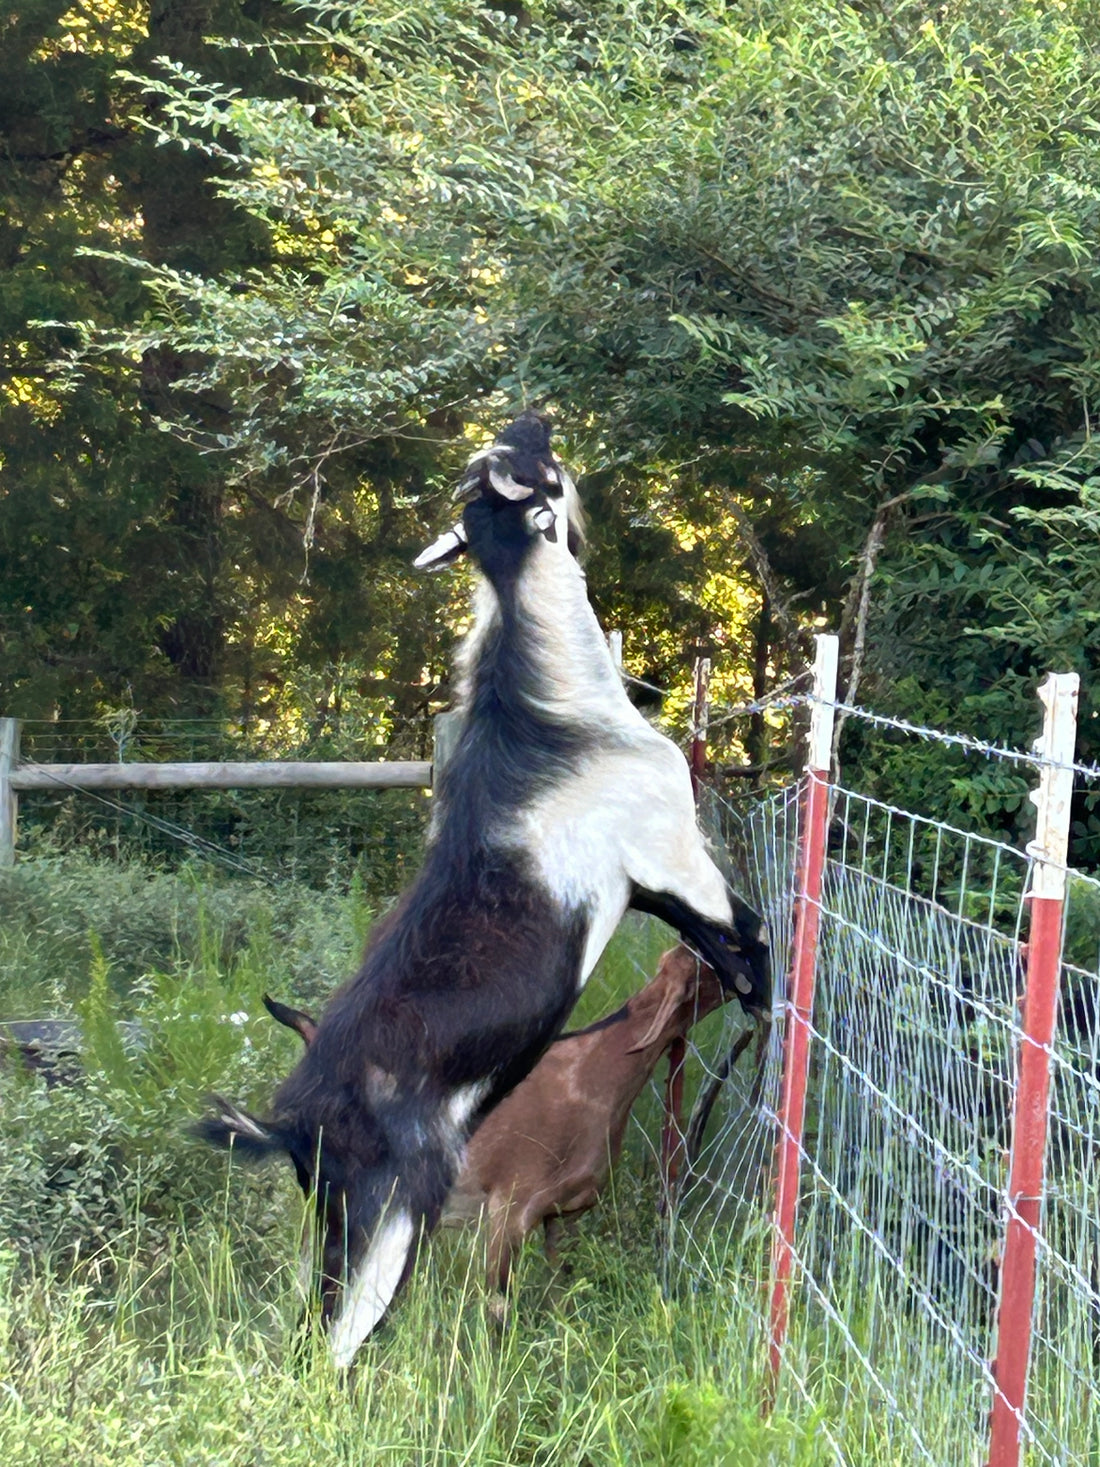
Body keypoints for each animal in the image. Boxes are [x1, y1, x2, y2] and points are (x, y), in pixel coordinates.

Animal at [197, 412, 770, 1368]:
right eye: (537, 472)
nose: (535, 421)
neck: (557, 709)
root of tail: (294, 1125)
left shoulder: (643, 889)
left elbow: (711, 943)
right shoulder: (672, 852)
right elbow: (748, 929)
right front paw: (775, 998)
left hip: (341, 1220)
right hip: (392, 1219)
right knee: (340, 1339)